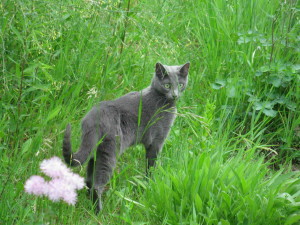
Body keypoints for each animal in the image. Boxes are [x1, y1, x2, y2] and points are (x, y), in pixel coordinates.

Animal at [62, 62, 190, 213]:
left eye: (180, 85)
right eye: (168, 85)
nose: (175, 95)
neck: (163, 101)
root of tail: (92, 117)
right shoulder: (157, 141)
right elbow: (151, 166)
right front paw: (149, 184)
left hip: (96, 149)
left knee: (89, 179)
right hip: (111, 150)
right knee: (97, 184)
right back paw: (98, 211)